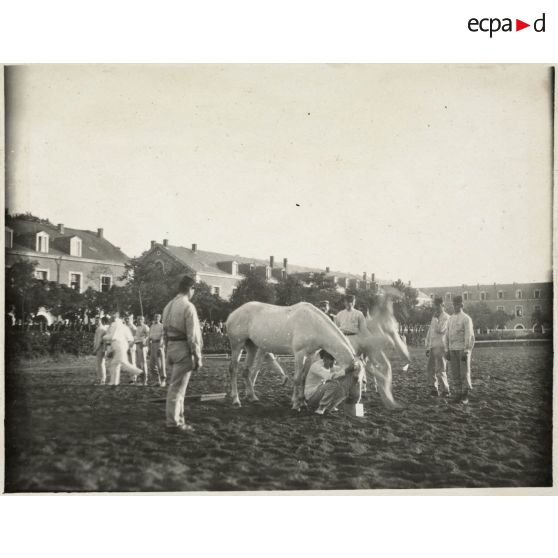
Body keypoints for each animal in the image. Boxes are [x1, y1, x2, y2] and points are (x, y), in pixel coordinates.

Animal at [225, 302, 366, 412]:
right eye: (356, 379)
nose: (355, 401)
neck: (314, 324)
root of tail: (232, 314)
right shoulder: (299, 353)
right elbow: (297, 378)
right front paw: (296, 405)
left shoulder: (310, 355)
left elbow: (304, 377)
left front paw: (302, 402)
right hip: (237, 345)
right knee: (233, 369)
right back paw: (236, 400)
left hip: (252, 347)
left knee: (246, 371)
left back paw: (252, 397)